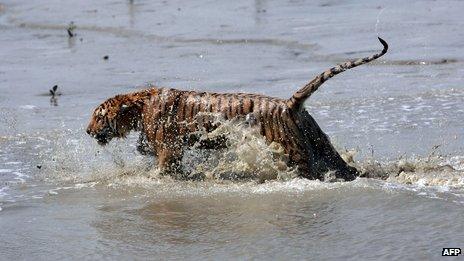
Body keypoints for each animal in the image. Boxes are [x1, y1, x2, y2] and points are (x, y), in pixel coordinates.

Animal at [86, 37, 388, 181]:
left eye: (97, 117)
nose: (87, 131)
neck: (139, 106)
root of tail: (289, 104)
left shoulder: (169, 148)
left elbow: (162, 166)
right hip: (321, 143)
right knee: (344, 166)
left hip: (294, 152)